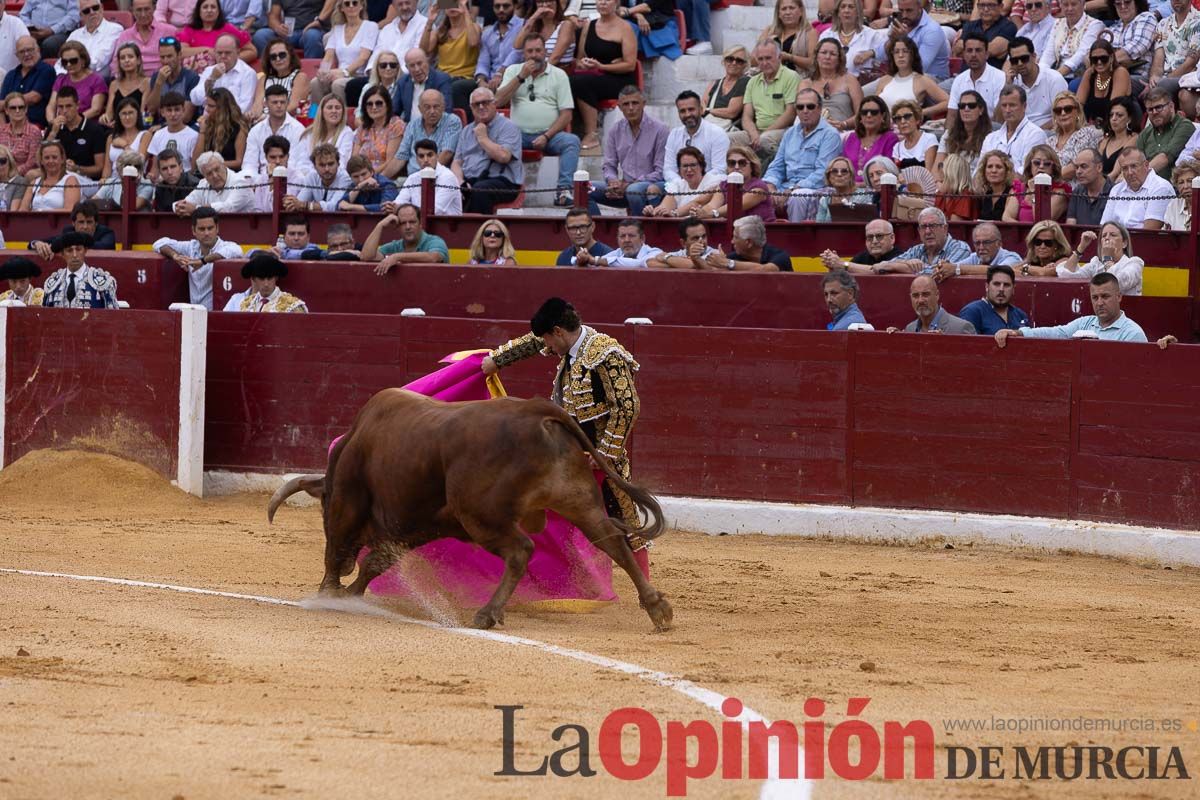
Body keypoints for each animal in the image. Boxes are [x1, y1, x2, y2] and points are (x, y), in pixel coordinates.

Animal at [266, 388, 672, 633]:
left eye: (321, 507)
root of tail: (535, 410)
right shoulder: (420, 524)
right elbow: (376, 562)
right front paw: (350, 594)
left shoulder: (347, 504)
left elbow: (336, 550)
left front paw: (329, 594)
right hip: (579, 502)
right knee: (612, 541)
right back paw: (657, 609)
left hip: (481, 516)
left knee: (521, 550)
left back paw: (487, 614)